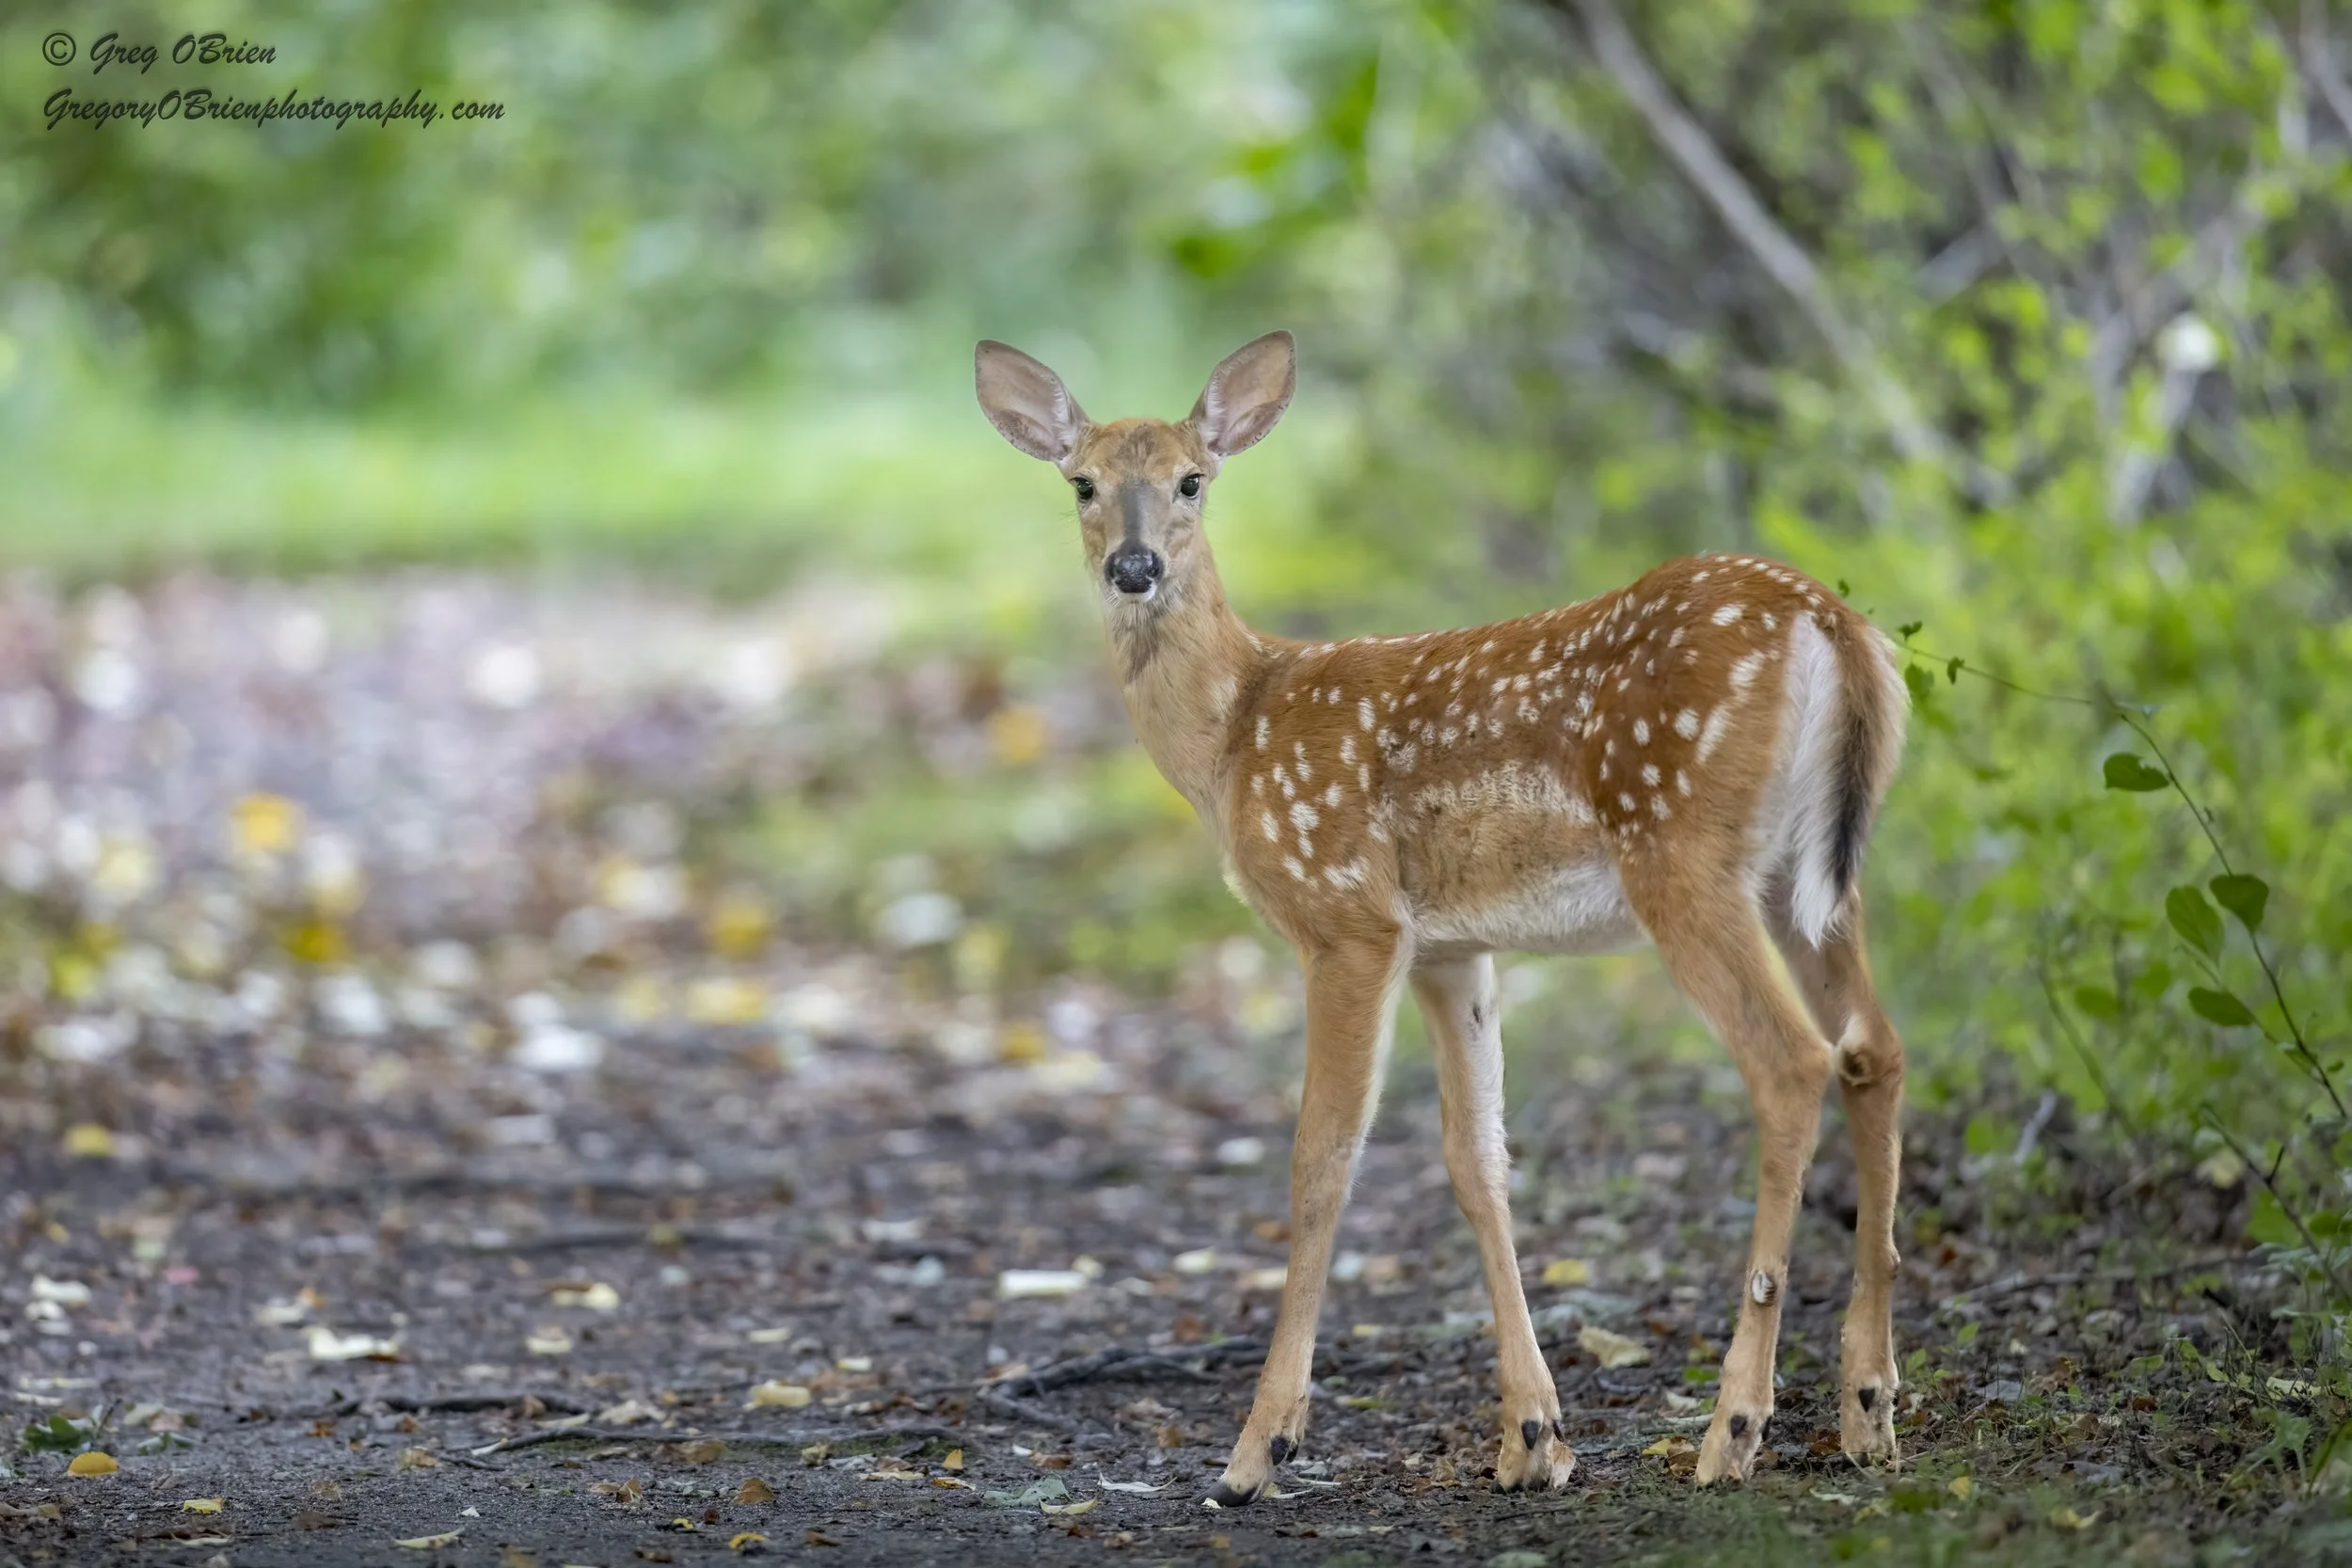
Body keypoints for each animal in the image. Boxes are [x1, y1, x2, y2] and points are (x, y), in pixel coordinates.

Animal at [974, 330, 1909, 1503]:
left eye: (1192, 479)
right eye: (1082, 483)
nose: (1133, 567)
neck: (1234, 734)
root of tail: (1832, 624)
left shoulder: (1347, 916)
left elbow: (1322, 1157)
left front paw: (1258, 1449)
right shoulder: (1451, 949)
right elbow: (1479, 1159)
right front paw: (1532, 1438)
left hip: (1683, 850)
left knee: (1790, 1059)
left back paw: (1731, 1426)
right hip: (1807, 875)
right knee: (1874, 1047)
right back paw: (1869, 1408)